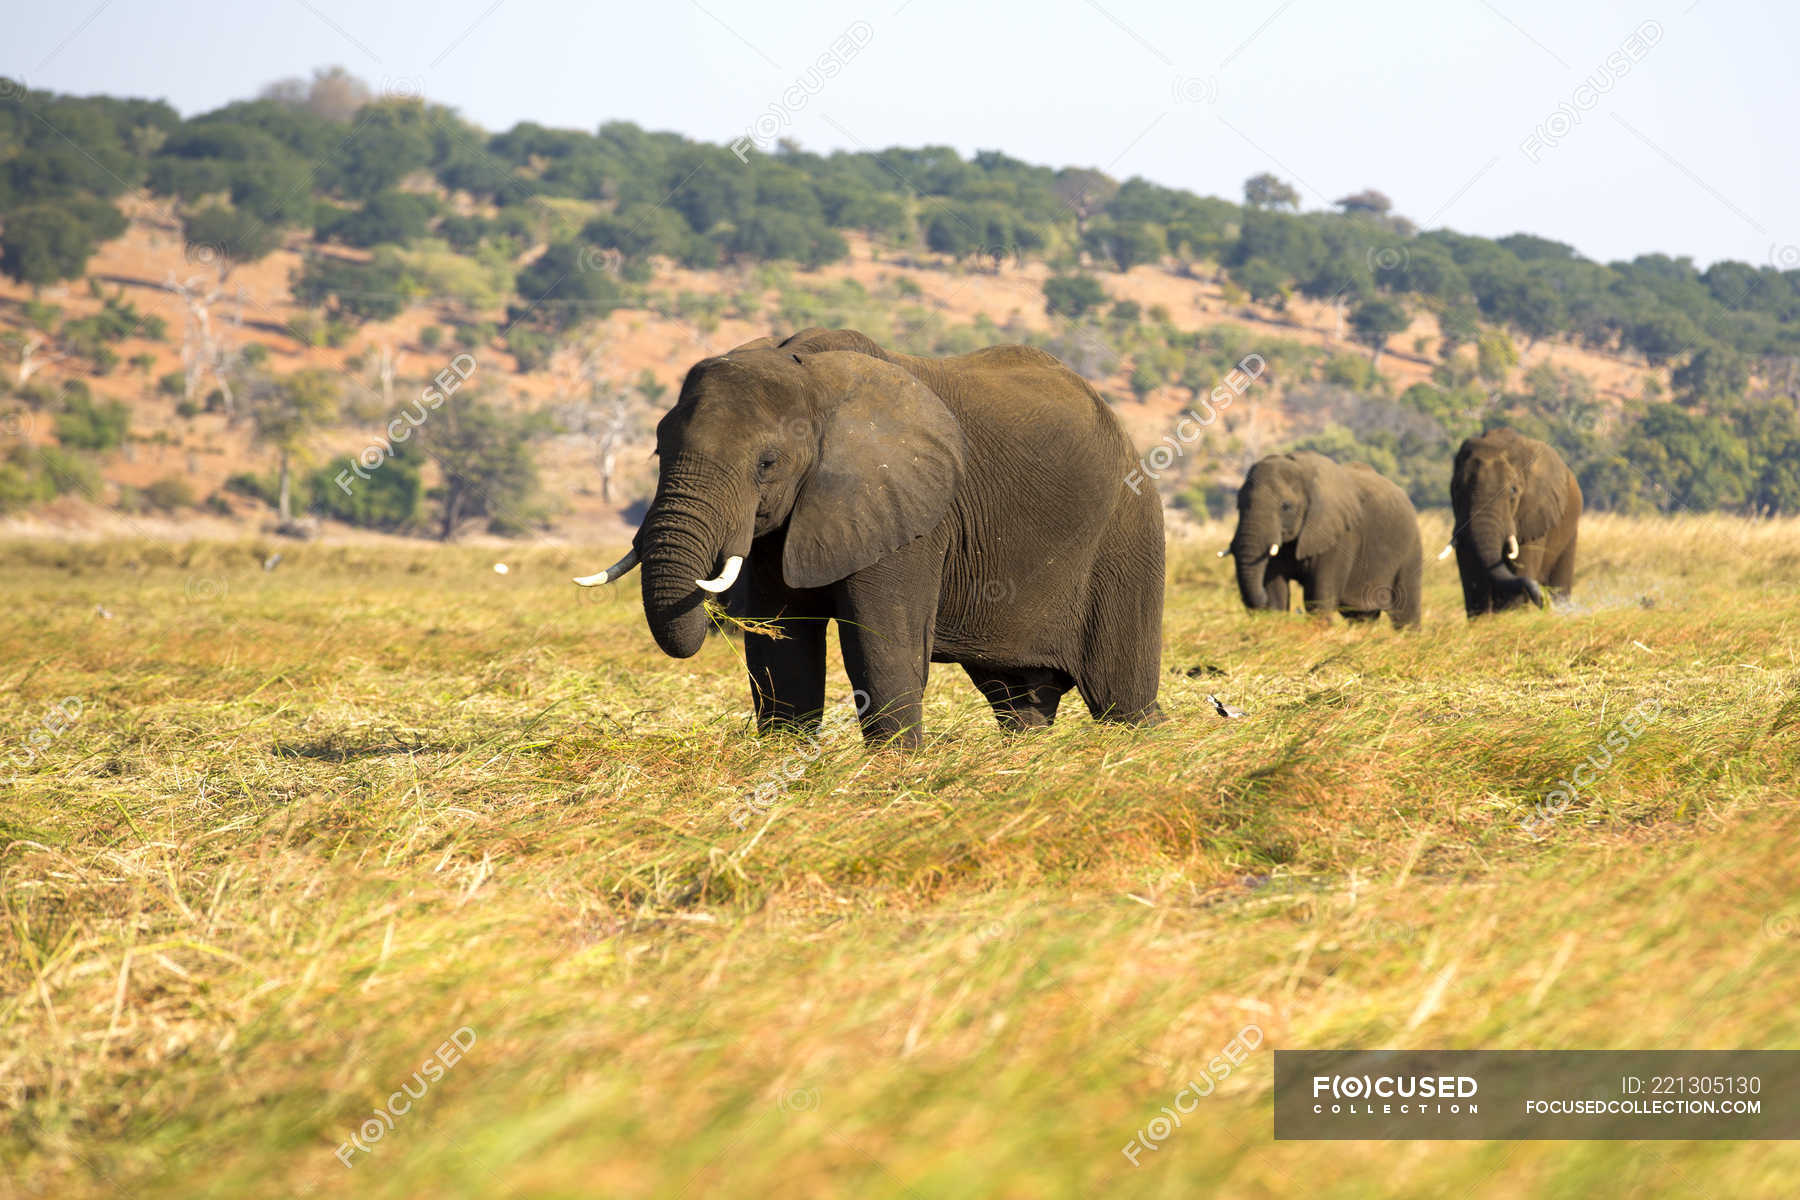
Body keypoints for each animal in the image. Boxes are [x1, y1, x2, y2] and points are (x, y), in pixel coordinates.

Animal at [572, 325, 1166, 741]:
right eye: (657, 449)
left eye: (767, 464)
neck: (809, 375)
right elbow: (783, 652)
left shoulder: (910, 511)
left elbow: (883, 650)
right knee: (1018, 700)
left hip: (1126, 535)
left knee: (1123, 698)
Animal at [1224, 453, 1418, 629]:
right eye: (1238, 505)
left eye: (1286, 506)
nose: (1259, 607)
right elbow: (1275, 589)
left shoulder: (1340, 536)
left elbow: (1319, 595)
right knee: (1361, 615)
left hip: (1410, 548)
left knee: (1405, 612)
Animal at [1440, 429, 1584, 618]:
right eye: (1456, 488)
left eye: (1513, 490)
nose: (1542, 601)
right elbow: (1472, 574)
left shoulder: (1535, 514)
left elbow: (1521, 568)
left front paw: (1510, 617)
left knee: (1560, 583)